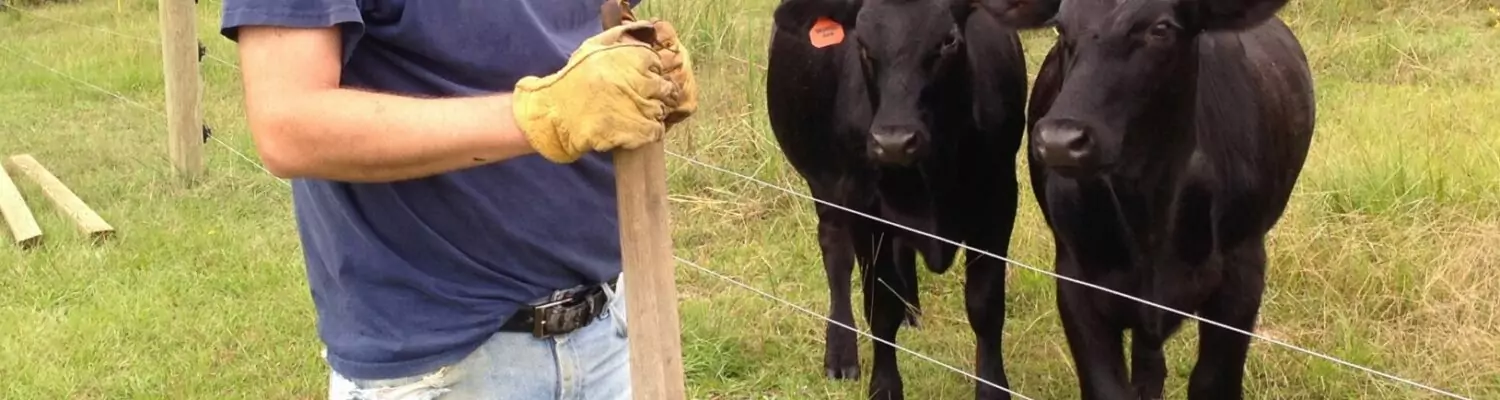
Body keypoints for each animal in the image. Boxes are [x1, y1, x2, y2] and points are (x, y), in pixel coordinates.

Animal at [764, 0, 1031, 399]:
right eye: (862, 43)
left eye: (949, 40)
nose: (893, 142)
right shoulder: (862, 204)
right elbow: (879, 305)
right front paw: (885, 386)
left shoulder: (998, 198)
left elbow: (985, 306)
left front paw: (993, 389)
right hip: (824, 184)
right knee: (836, 256)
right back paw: (841, 353)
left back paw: (910, 310)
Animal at [975, 0, 1317, 398]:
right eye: (1060, 26)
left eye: (1161, 28)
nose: (1060, 141)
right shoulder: (1076, 280)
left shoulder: (1242, 277)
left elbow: (1211, 382)